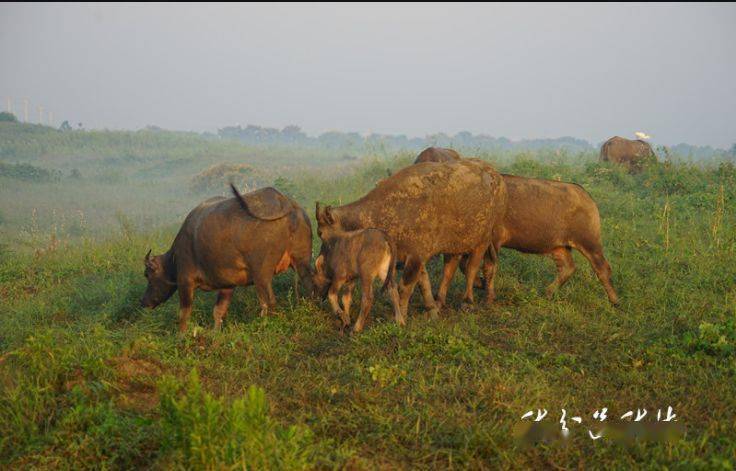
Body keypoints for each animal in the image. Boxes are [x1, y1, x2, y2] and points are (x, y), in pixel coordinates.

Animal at [140, 185, 314, 332]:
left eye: (148, 275)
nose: (144, 302)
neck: (175, 258)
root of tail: (285, 202)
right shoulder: (227, 285)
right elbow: (218, 311)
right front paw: (215, 332)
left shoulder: (185, 281)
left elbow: (184, 314)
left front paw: (181, 335)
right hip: (302, 262)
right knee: (311, 285)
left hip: (261, 274)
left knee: (268, 301)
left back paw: (262, 325)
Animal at [314, 160, 508, 318]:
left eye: (320, 233)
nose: (321, 266)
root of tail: (496, 176)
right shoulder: (415, 257)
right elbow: (424, 283)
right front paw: (432, 309)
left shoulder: (415, 256)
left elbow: (404, 287)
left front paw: (402, 314)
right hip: (455, 245)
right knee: (450, 269)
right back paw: (441, 300)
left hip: (482, 241)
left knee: (472, 268)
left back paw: (467, 301)